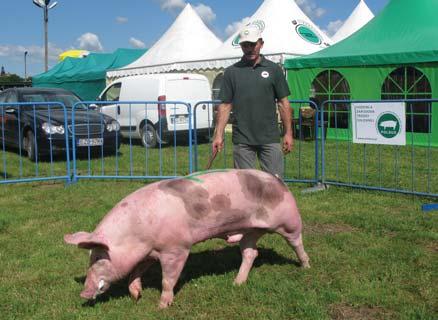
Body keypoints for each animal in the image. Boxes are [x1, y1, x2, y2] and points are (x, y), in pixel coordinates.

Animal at [66, 169, 312, 308]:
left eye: (98, 257)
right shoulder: (148, 253)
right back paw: (237, 283)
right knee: (251, 253)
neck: (137, 233)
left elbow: (168, 279)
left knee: (296, 241)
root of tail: (278, 180)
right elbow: (135, 272)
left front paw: (162, 306)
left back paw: (306, 266)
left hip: (289, 220)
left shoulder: (176, 248)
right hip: (250, 231)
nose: (83, 292)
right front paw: (136, 295)